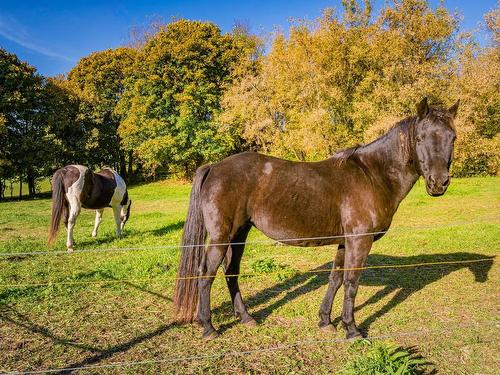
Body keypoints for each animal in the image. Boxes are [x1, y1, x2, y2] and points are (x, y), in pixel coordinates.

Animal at [174, 98, 458, 340]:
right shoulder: (360, 241)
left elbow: (335, 279)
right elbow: (351, 283)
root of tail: (215, 167)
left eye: (452, 138)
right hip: (221, 237)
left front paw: (325, 321)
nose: (439, 183)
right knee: (206, 274)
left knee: (231, 271)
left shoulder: (345, 241)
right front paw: (351, 329)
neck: (372, 175)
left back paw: (246, 318)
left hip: (239, 234)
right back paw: (209, 327)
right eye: (420, 138)